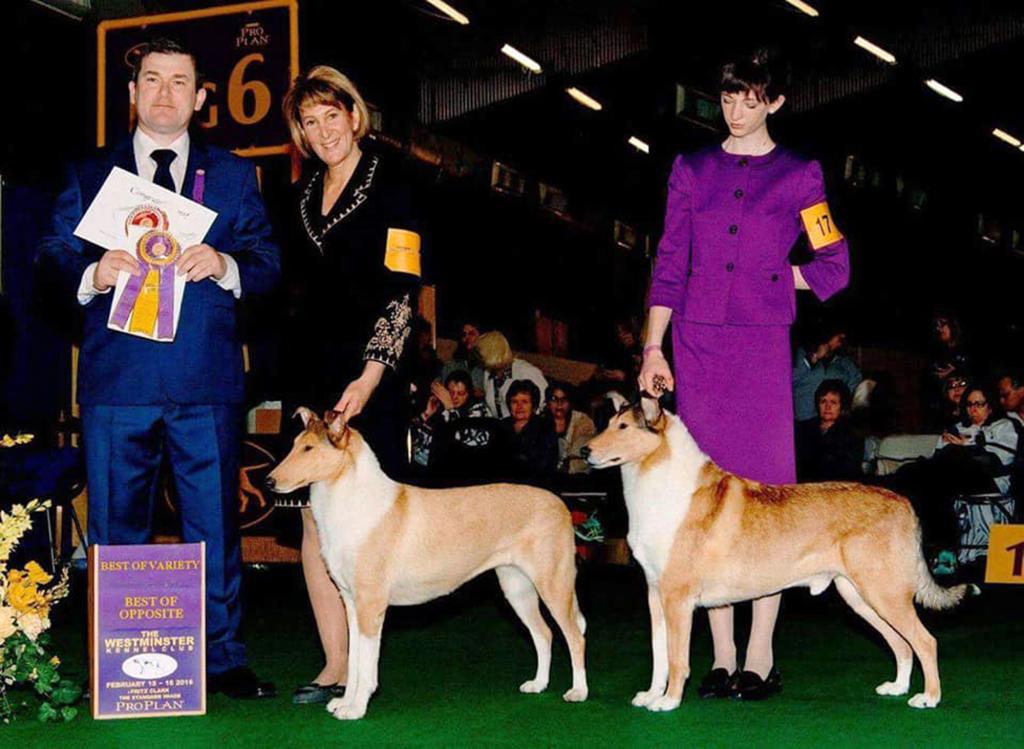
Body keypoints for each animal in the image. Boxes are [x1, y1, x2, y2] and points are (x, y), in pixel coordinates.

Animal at [264, 409, 589, 721]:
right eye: (295, 444)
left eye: (308, 448)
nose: (269, 481)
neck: (351, 503)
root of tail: (561, 504)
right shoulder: (352, 604)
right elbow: (354, 660)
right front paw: (344, 702)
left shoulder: (371, 605)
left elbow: (366, 665)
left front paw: (356, 709)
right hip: (516, 587)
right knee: (544, 634)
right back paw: (538, 684)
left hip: (553, 585)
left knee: (574, 636)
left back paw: (578, 691)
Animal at [585, 395, 974, 713]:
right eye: (608, 423)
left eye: (623, 427)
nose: (586, 452)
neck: (660, 486)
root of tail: (905, 504)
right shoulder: (656, 595)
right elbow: (659, 655)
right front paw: (651, 695)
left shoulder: (678, 599)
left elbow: (677, 659)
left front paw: (668, 702)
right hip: (860, 596)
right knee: (902, 644)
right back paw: (897, 687)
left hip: (884, 593)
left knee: (925, 641)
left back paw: (929, 697)